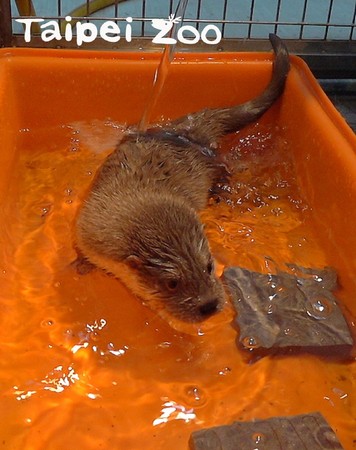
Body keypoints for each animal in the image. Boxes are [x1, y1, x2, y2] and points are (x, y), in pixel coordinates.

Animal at [75, 34, 290, 324]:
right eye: (172, 283)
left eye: (209, 266)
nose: (209, 305)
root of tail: (185, 131)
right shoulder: (87, 227)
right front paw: (81, 263)